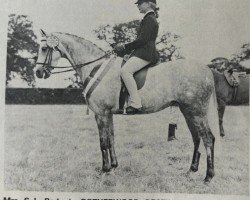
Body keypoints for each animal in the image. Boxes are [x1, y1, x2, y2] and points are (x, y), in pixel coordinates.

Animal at [34, 30, 219, 183]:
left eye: (43, 48)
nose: (38, 72)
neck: (95, 68)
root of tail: (206, 69)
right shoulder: (108, 114)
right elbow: (111, 139)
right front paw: (114, 167)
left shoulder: (101, 113)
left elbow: (103, 142)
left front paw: (104, 170)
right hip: (188, 111)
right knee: (197, 138)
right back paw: (191, 170)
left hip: (197, 112)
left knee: (208, 138)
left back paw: (208, 176)